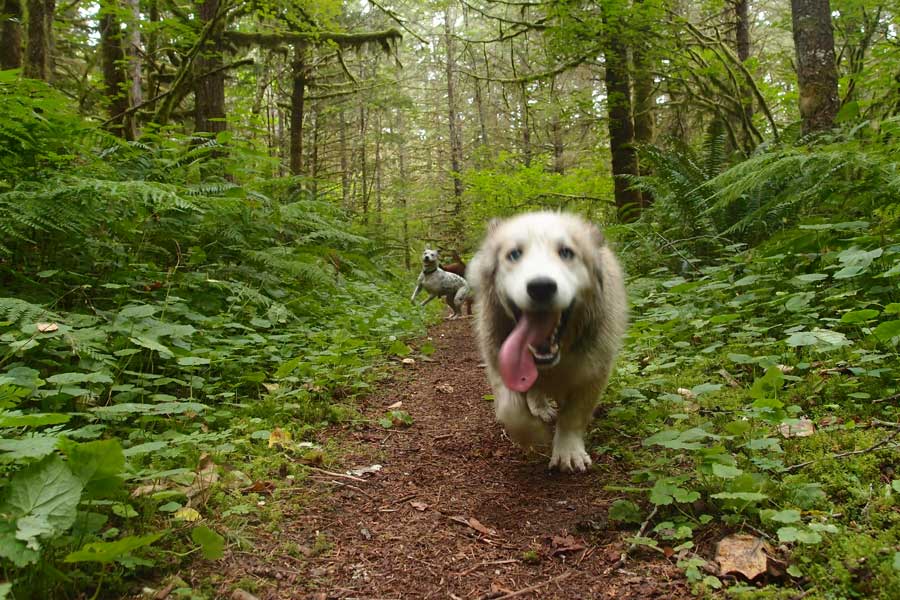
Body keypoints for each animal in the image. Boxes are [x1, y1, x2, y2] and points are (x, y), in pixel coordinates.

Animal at [464, 213, 624, 472]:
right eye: (514, 254)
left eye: (566, 252)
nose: (541, 287)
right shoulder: (498, 362)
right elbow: (511, 409)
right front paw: (535, 435)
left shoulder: (594, 371)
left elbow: (573, 414)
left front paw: (568, 450)